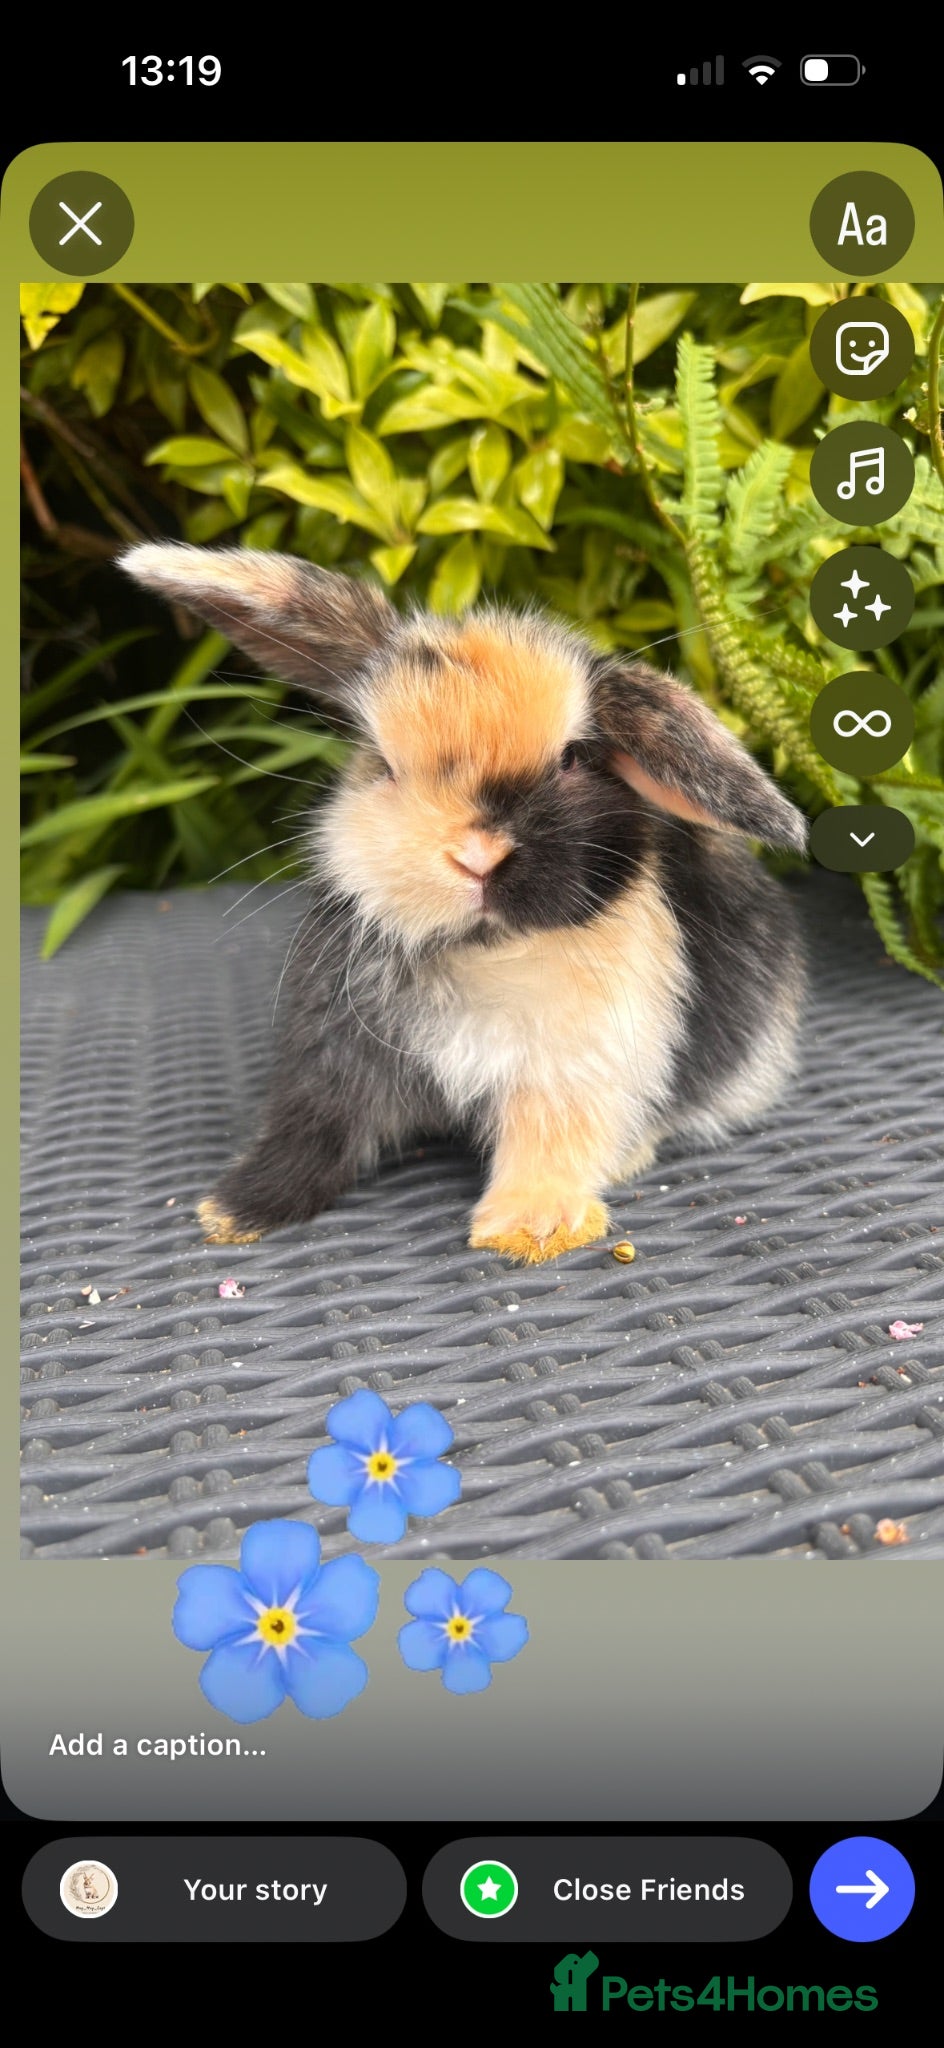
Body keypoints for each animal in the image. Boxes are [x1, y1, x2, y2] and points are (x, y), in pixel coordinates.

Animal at [120, 544, 807, 1263]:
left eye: (573, 758)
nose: (478, 856)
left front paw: (530, 1230)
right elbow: (312, 1131)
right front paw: (233, 1212)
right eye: (385, 765)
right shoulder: (332, 1061)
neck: (484, 948)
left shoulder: (571, 1068)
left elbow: (547, 1139)